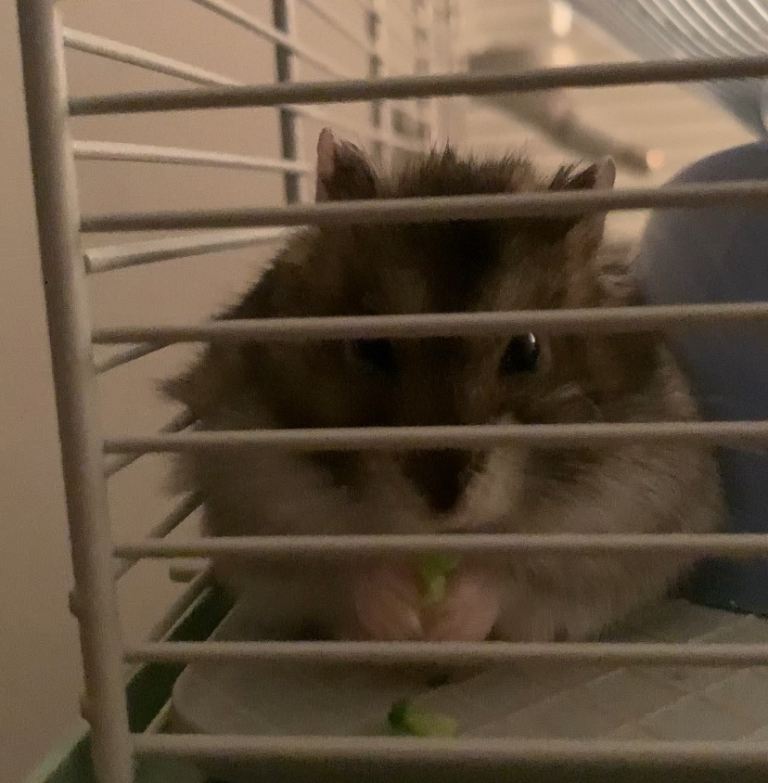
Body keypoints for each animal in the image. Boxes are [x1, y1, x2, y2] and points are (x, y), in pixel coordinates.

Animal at [165, 128, 724, 643]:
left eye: (527, 350)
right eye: (369, 347)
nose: (443, 504)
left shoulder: (628, 516)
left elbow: (513, 578)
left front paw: (451, 619)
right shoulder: (257, 501)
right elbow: (343, 571)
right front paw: (402, 613)